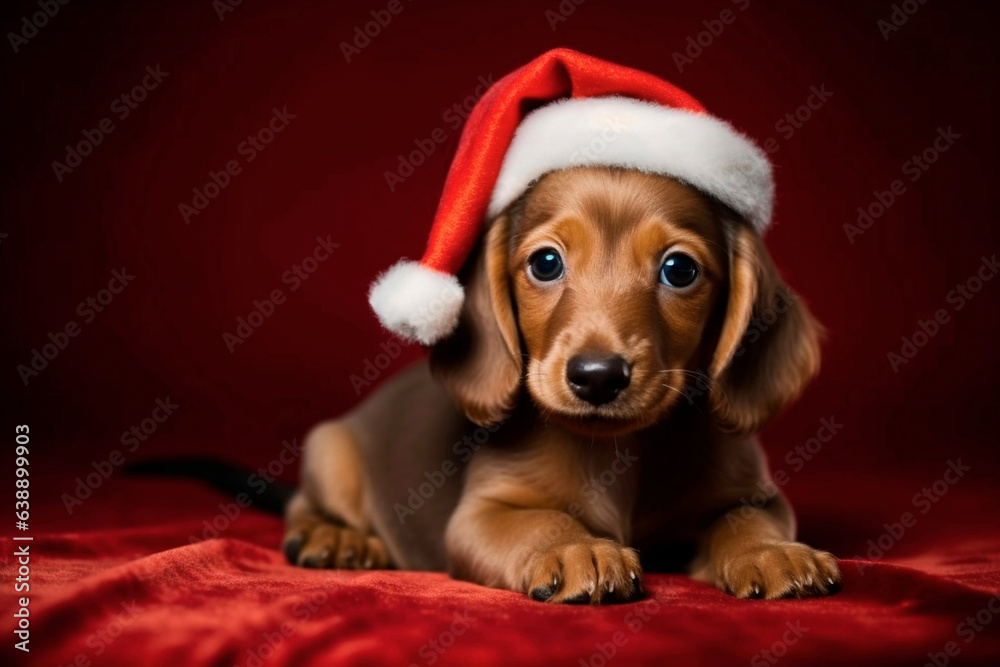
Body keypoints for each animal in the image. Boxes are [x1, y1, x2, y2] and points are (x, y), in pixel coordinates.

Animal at [286, 166, 840, 604]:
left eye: (679, 269)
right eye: (546, 263)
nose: (597, 377)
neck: (618, 450)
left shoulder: (754, 496)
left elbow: (745, 519)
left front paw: (772, 552)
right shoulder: (483, 513)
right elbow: (541, 520)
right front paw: (576, 549)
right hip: (330, 451)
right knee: (300, 505)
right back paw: (332, 538)